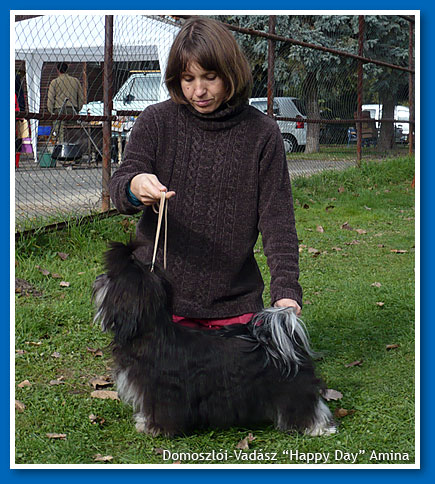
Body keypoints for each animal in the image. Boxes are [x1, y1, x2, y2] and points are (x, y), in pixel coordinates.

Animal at [93, 240, 338, 436]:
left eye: (113, 277)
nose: (99, 278)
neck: (152, 332)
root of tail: (282, 342)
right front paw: (145, 423)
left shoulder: (164, 390)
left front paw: (157, 429)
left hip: (291, 387)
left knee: (308, 406)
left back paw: (318, 428)